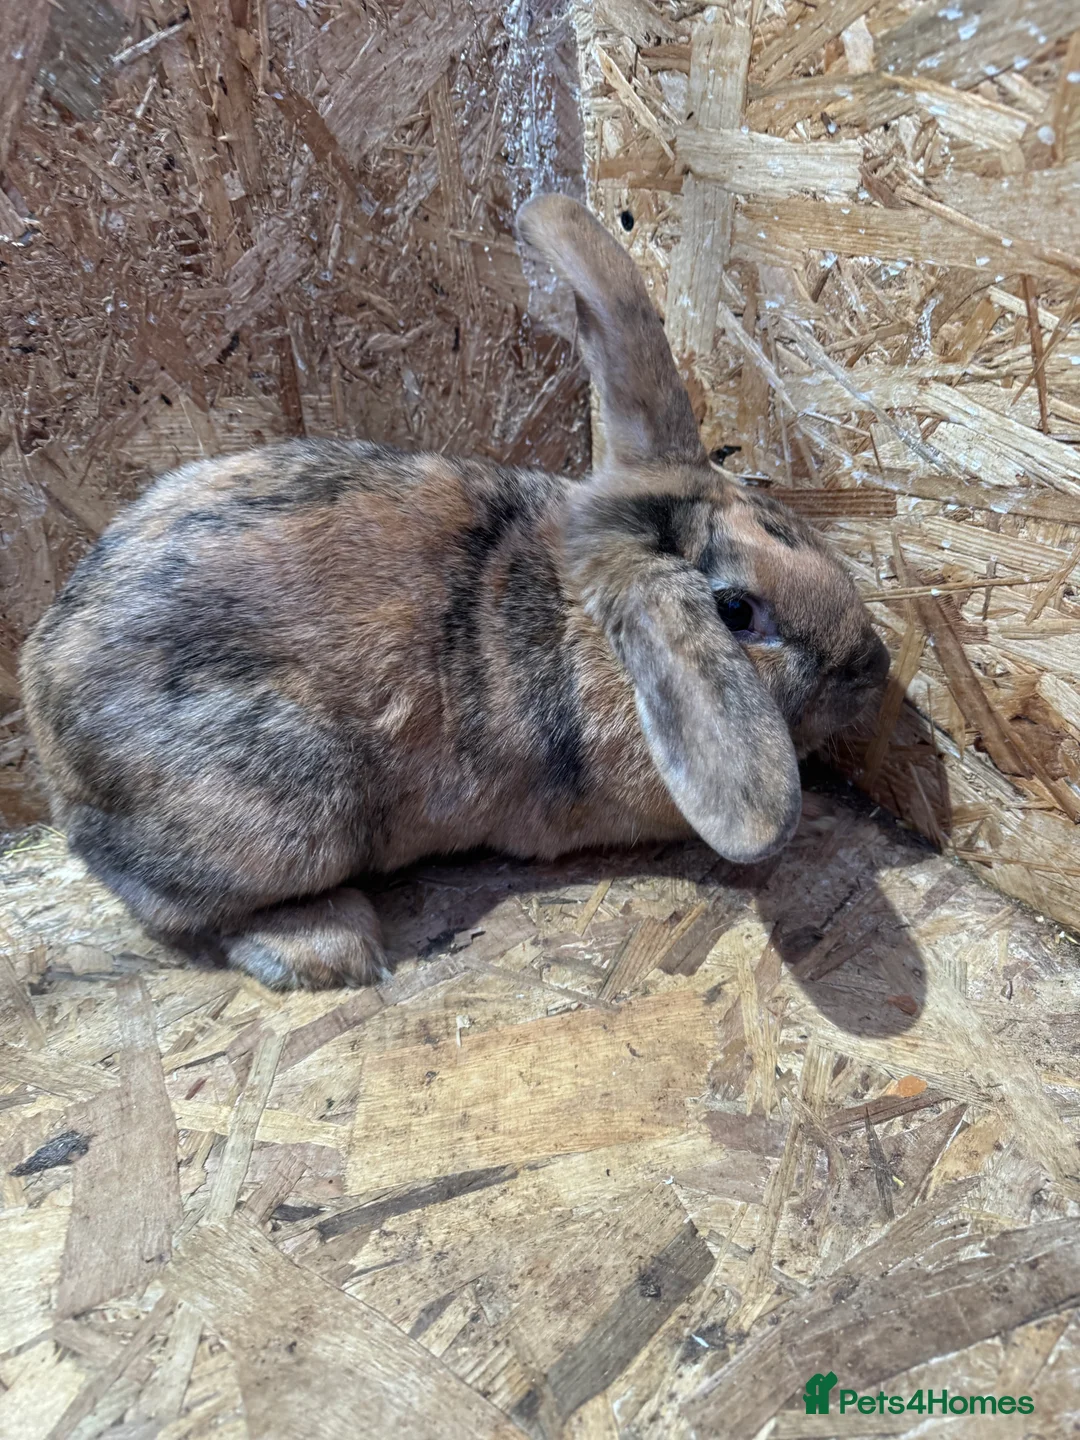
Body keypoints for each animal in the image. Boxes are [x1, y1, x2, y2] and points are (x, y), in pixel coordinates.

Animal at [19, 194, 889, 990]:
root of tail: (46, 718)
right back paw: (329, 946)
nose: (875, 668)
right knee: (195, 909)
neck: (584, 625)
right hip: (284, 801)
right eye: (737, 612)